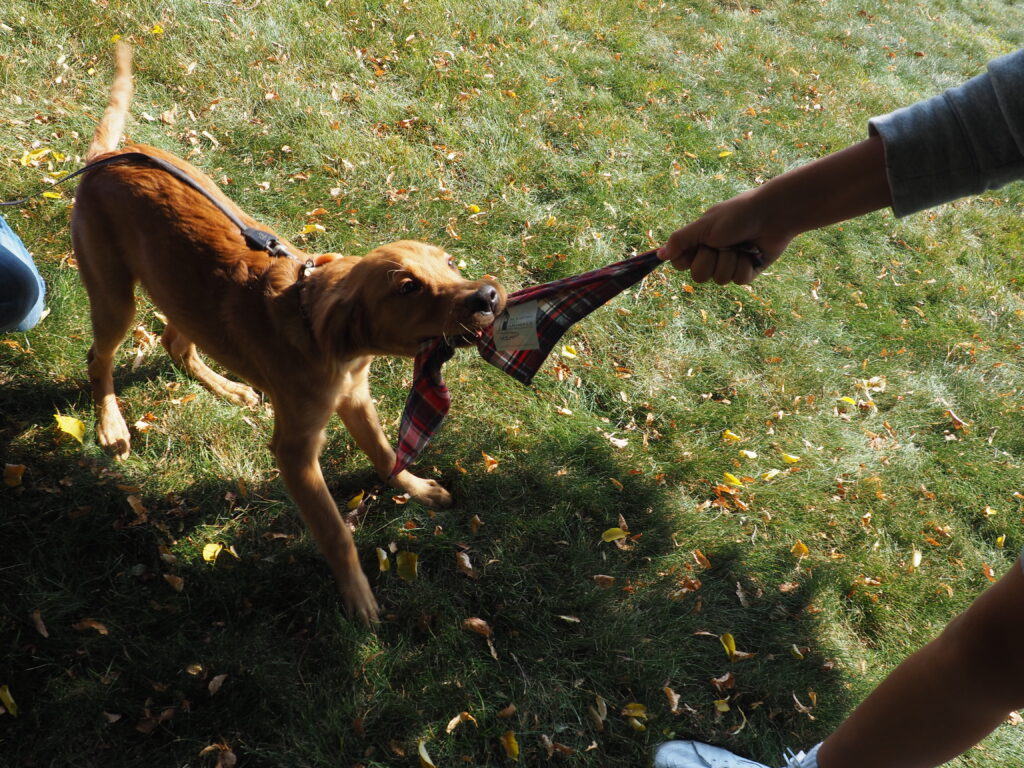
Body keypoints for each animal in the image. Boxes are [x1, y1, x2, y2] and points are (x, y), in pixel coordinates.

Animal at [71, 45, 503, 626]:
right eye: (408, 287)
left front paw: (419, 491)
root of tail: (106, 158)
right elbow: (335, 530)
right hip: (116, 297)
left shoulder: (356, 399)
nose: (488, 296)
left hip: (176, 285)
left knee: (176, 345)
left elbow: (387, 454)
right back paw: (111, 424)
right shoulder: (295, 452)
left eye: (450, 263)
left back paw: (229, 388)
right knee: (99, 358)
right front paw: (359, 598)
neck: (327, 340)